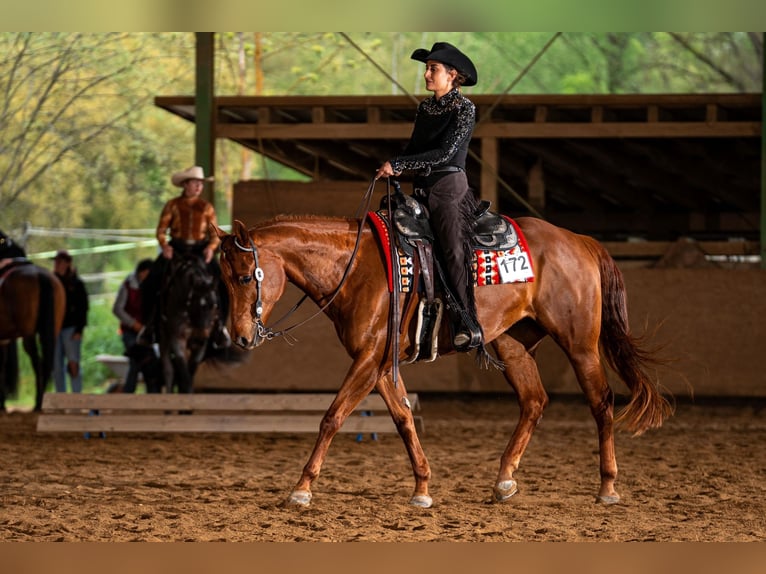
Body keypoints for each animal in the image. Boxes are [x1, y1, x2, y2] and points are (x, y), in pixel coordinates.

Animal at [0, 230, 66, 412]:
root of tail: (40, 276)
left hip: (28, 334)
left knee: (37, 360)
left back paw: (37, 403)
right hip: (51, 331)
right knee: (45, 362)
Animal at [214, 211, 673, 509]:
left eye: (244, 276)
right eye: (223, 279)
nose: (240, 336)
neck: (358, 268)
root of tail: (580, 241)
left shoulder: (367, 360)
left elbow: (333, 417)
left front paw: (302, 489)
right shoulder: (381, 367)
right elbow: (403, 419)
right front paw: (422, 487)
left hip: (579, 344)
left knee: (601, 402)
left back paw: (607, 487)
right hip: (512, 344)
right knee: (534, 402)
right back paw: (504, 481)